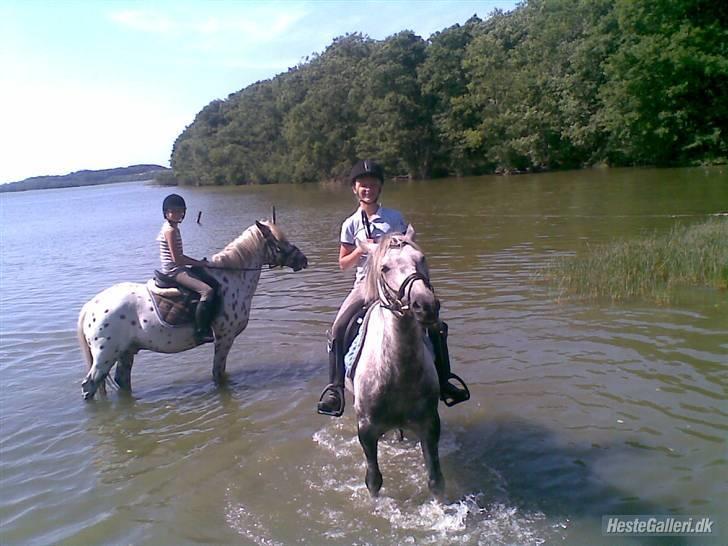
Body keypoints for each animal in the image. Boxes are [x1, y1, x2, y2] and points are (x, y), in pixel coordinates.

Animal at [78, 220, 306, 400]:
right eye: (280, 242)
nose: (303, 260)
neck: (231, 278)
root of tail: (90, 307)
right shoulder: (225, 337)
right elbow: (218, 372)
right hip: (105, 355)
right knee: (90, 385)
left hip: (126, 351)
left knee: (121, 381)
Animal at [346, 225, 444, 498]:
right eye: (384, 268)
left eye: (421, 258)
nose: (425, 305)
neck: (398, 372)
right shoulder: (366, 431)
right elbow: (373, 481)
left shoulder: (430, 424)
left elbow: (435, 480)